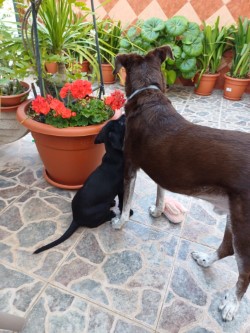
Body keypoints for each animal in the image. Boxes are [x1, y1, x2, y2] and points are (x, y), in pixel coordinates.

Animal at [34, 113, 128, 252]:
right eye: (121, 124)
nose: (124, 114)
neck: (114, 155)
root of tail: (76, 219)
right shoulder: (123, 187)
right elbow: (123, 203)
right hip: (100, 208)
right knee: (99, 221)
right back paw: (110, 214)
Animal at [112, 45, 250, 320]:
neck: (149, 95)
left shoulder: (130, 166)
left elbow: (126, 203)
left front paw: (120, 223)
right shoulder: (160, 169)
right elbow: (160, 193)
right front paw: (157, 211)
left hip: (244, 223)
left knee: (245, 269)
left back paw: (232, 304)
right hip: (234, 214)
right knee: (227, 248)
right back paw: (205, 259)